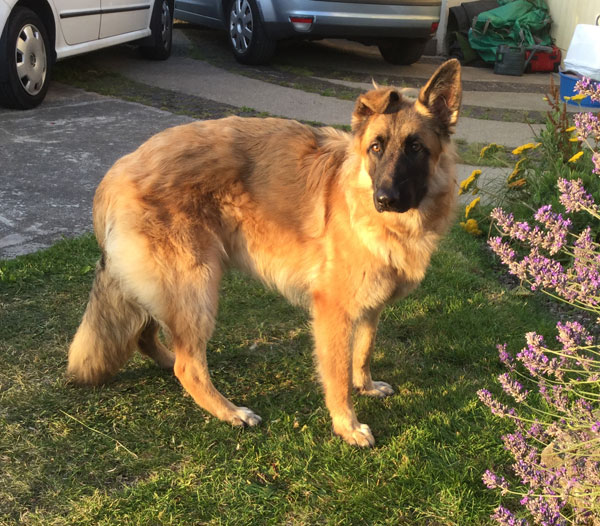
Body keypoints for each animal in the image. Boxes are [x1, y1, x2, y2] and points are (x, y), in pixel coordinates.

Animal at [71, 59, 464, 448]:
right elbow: (337, 375)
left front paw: (365, 386)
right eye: (376, 148)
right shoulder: (333, 312)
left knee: (149, 335)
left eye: (416, 148)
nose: (385, 199)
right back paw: (230, 411)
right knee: (189, 365)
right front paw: (347, 425)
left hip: (167, 290)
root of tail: (117, 171)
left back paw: (168, 360)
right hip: (196, 287)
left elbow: (363, 351)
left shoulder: (370, 304)